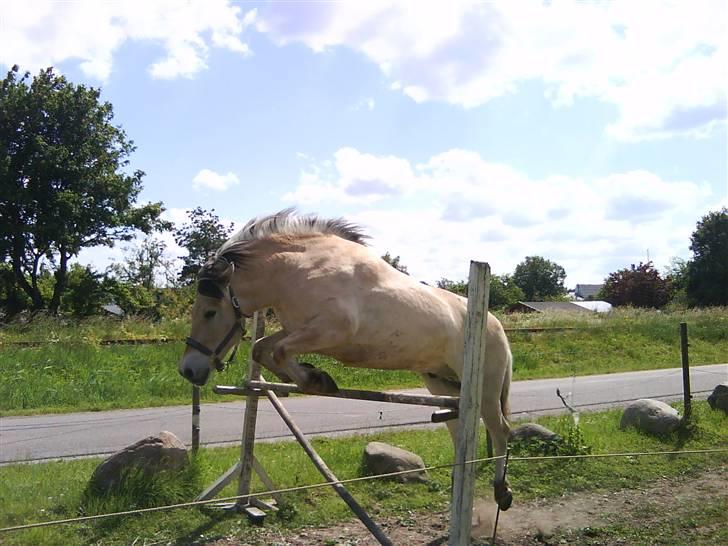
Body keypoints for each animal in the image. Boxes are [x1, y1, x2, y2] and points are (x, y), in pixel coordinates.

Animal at [179, 208, 516, 510]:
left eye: (210, 312)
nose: (188, 371)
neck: (297, 270)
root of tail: (495, 324)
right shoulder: (297, 329)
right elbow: (261, 349)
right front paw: (307, 375)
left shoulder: (332, 331)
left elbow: (278, 351)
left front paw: (316, 379)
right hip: (442, 382)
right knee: (459, 431)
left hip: (484, 390)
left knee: (500, 431)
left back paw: (502, 491)